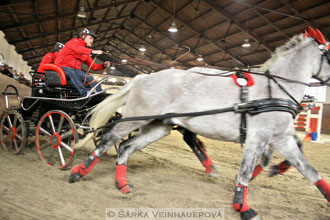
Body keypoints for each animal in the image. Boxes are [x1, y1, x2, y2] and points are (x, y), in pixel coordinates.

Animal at [69, 27, 330, 220]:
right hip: (136, 118)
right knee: (108, 140)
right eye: (329, 53)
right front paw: (243, 207)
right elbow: (245, 172)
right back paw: (78, 172)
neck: (273, 89)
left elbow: (308, 169)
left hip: (159, 126)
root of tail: (142, 77)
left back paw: (122, 183)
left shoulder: (281, 138)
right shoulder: (258, 137)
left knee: (126, 146)